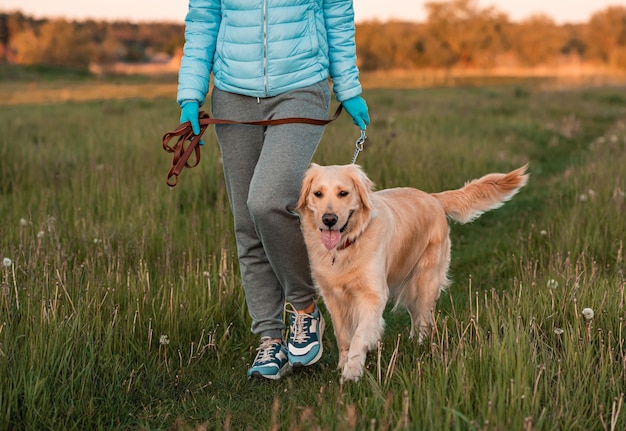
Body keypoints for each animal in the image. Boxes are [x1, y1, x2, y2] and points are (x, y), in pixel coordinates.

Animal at [294, 163, 528, 382]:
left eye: (343, 193)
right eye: (318, 193)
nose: (329, 219)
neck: (346, 246)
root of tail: (433, 198)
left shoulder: (373, 295)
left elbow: (360, 335)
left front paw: (352, 371)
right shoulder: (332, 296)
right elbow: (343, 335)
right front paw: (343, 365)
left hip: (425, 281)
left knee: (424, 318)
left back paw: (421, 346)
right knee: (416, 316)